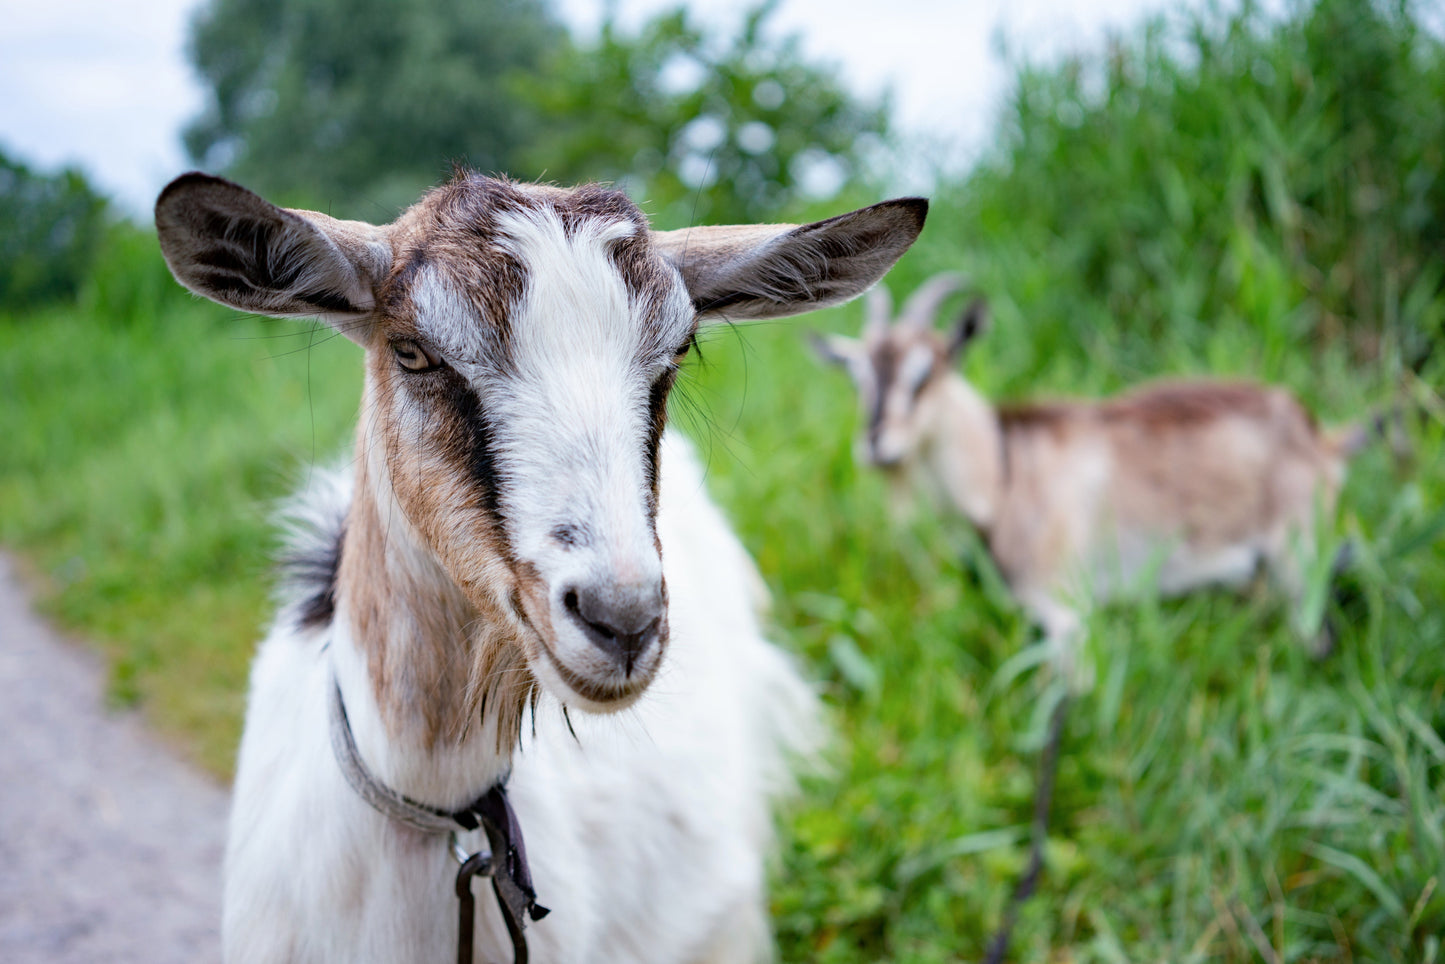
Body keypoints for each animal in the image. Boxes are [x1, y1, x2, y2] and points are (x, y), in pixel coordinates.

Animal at [814, 274, 1366, 660]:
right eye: (856, 376)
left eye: (926, 373)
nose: (874, 443)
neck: (1007, 471)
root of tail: (1319, 435)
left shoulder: (1066, 611)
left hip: (1298, 557)